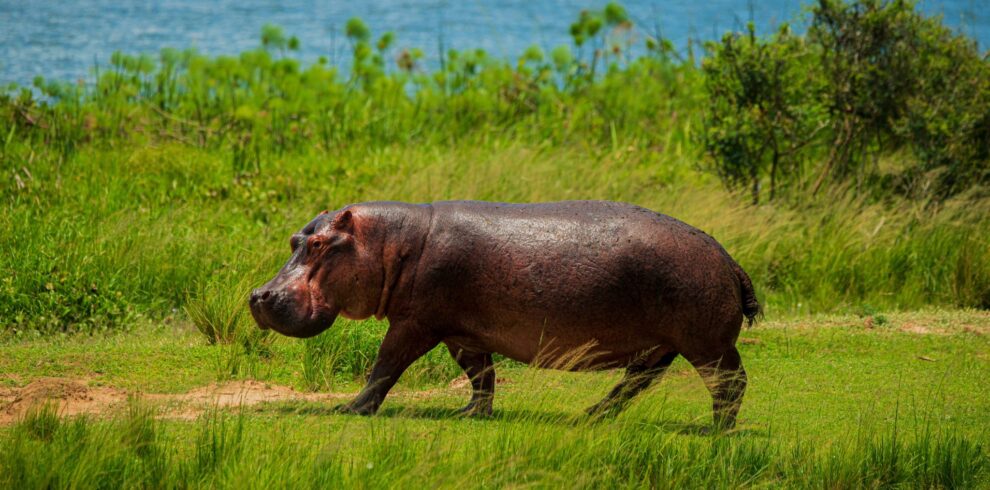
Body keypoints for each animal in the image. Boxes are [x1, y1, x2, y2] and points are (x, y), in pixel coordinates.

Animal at [249, 201, 760, 430]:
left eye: (319, 244)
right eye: (295, 240)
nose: (258, 294)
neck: (390, 243)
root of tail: (729, 258)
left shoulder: (414, 324)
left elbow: (385, 366)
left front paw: (350, 409)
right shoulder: (461, 333)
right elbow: (481, 375)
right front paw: (468, 414)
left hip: (707, 344)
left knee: (729, 382)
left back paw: (716, 429)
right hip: (661, 346)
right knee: (636, 382)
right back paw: (588, 417)